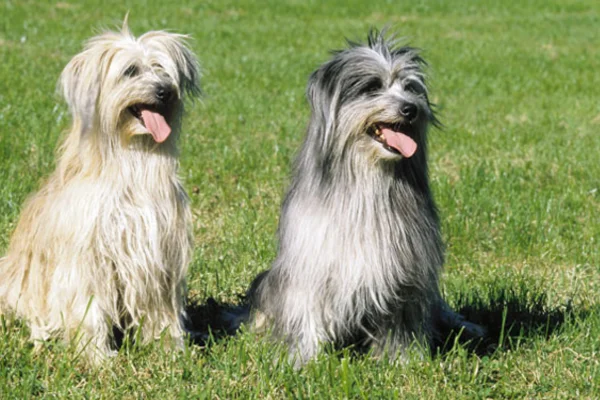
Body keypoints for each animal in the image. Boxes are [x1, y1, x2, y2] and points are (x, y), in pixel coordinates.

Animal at [0, 24, 202, 362]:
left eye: (163, 70)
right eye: (130, 71)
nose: (164, 91)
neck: (130, 159)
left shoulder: (158, 251)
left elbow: (160, 309)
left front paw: (168, 349)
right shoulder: (89, 257)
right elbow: (89, 308)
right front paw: (96, 357)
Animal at [248, 28, 482, 366]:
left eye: (410, 87)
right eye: (372, 87)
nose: (411, 108)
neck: (368, 178)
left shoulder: (403, 271)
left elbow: (401, 324)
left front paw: (401, 362)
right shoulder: (311, 262)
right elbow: (306, 313)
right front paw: (303, 360)